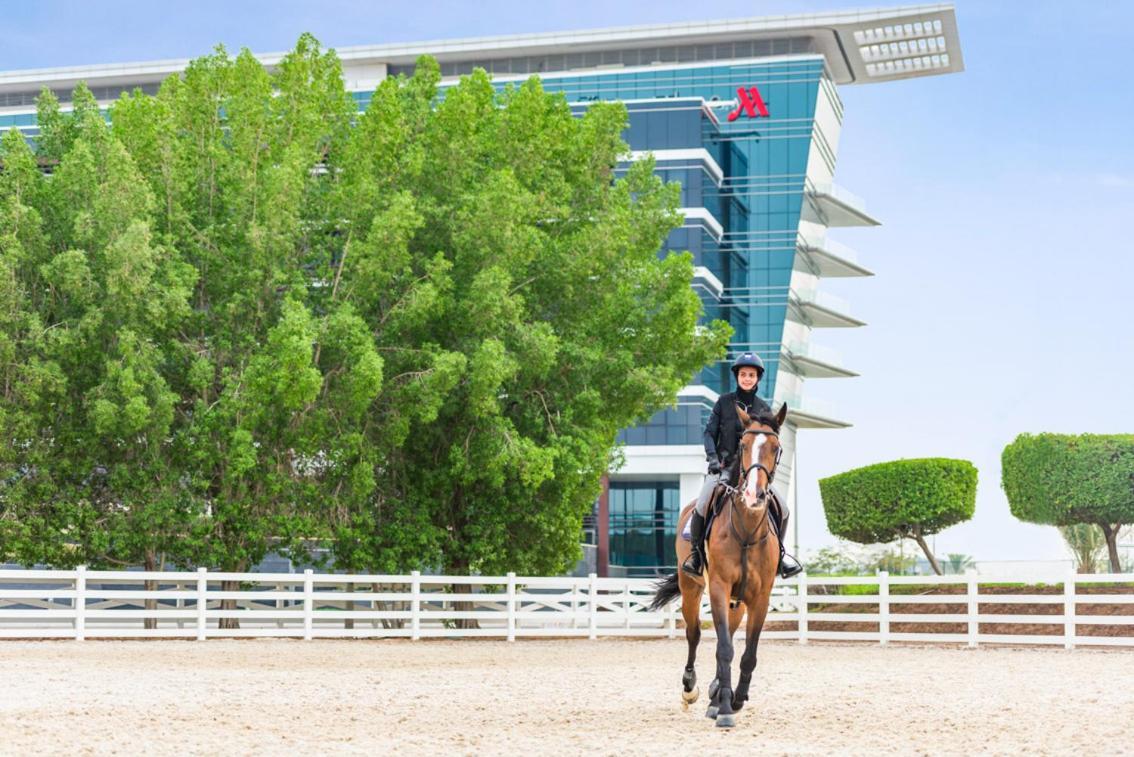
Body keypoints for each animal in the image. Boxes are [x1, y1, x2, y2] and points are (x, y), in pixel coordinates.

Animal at [648, 401, 789, 725]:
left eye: (775, 447)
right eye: (743, 445)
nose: (752, 495)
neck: (746, 530)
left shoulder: (760, 597)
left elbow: (747, 653)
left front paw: (735, 699)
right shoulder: (718, 588)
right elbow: (723, 648)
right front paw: (725, 708)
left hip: (738, 602)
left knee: (729, 637)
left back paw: (715, 693)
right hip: (691, 588)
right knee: (694, 633)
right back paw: (692, 690)